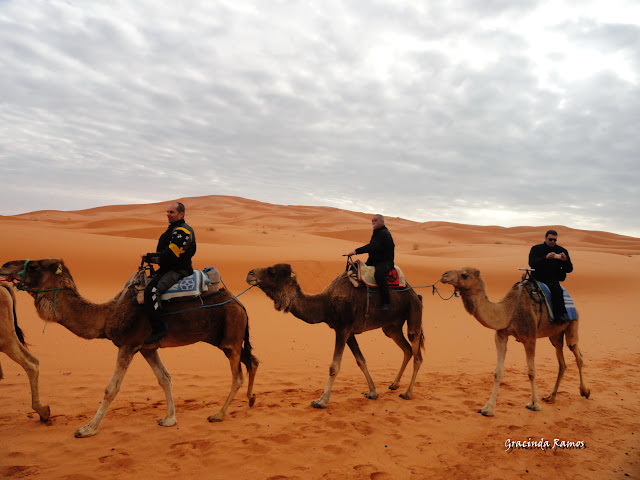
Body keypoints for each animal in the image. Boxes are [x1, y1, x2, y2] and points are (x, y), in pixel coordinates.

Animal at [246, 264, 424, 406]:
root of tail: (416, 294)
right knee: (407, 349)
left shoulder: (343, 329)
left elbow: (334, 367)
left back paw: (407, 393)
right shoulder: (349, 332)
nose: (250, 273)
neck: (325, 304)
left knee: (417, 353)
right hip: (391, 327)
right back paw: (394, 384)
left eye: (272, 271)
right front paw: (373, 392)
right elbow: (361, 361)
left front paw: (321, 401)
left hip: (414, 311)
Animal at [440, 266, 592, 416]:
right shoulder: (501, 335)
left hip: (572, 325)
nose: (444, 275)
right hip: (555, 335)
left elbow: (531, 371)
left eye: (465, 275)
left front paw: (534, 404)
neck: (509, 310)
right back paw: (551, 396)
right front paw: (487, 408)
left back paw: (584, 391)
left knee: (577, 355)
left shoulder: (530, 338)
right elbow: (498, 373)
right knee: (562, 362)